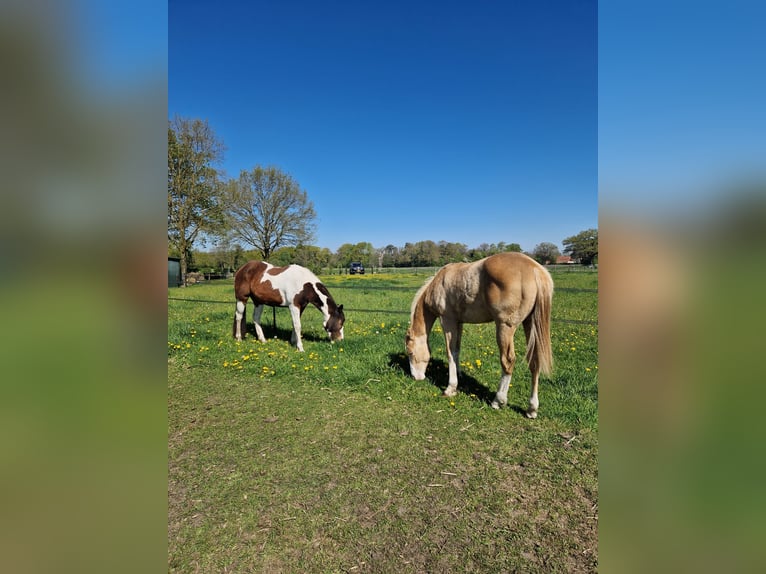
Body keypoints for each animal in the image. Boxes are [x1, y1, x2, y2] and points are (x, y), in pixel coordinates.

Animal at [405, 252, 553, 418]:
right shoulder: (459, 322)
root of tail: (535, 269)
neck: (440, 282)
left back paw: (498, 401)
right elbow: (456, 351)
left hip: (505, 327)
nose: (415, 377)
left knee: (508, 361)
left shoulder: (447, 320)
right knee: (534, 361)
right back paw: (531, 409)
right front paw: (459, 376)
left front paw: (451, 388)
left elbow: (450, 352)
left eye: (410, 352)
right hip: (530, 323)